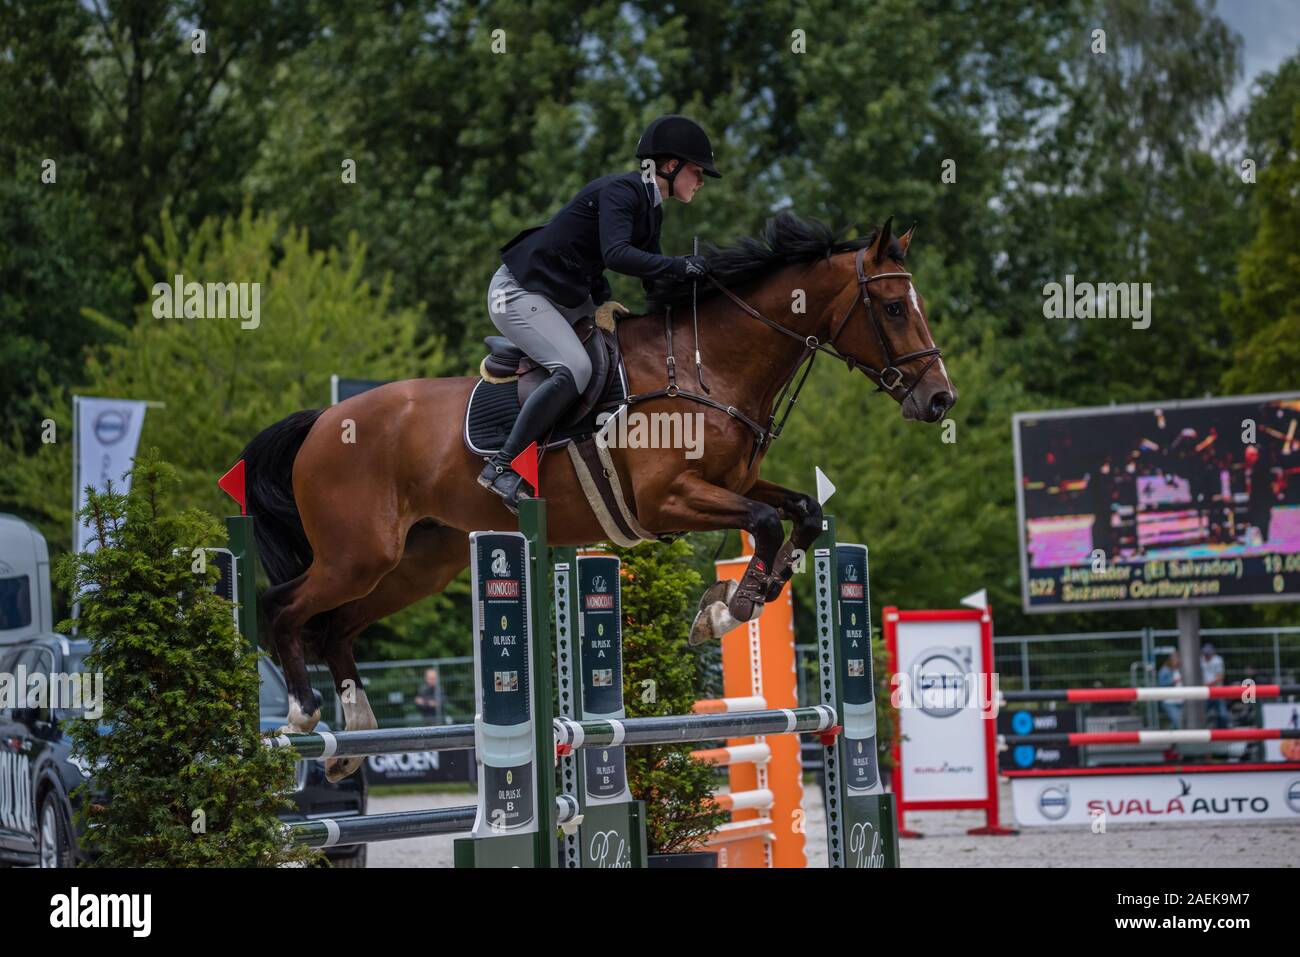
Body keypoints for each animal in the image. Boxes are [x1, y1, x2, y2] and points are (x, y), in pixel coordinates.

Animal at [241, 213, 956, 780]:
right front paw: (728, 608)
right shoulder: (667, 500)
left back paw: (354, 735)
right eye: (895, 308)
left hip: (414, 564)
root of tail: (324, 422)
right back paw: (303, 717)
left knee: (338, 627)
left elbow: (803, 513)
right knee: (283, 607)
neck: (708, 366)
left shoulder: (732, 482)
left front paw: (736, 600)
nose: (939, 399)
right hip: (356, 554)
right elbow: (765, 523)